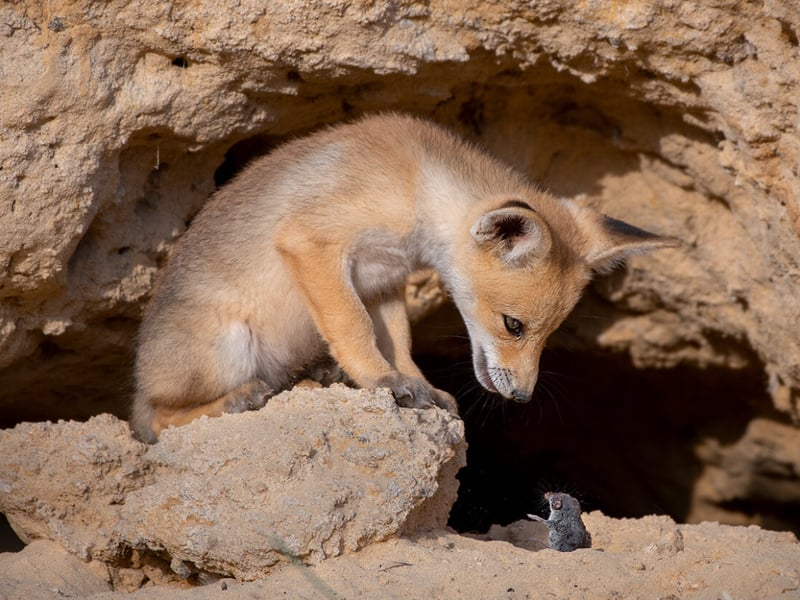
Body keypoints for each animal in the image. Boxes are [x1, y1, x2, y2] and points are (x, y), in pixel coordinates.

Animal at [131, 113, 678, 442]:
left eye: (550, 335)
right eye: (514, 325)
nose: (522, 397)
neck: (416, 185)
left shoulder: (383, 281)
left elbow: (399, 341)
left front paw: (417, 385)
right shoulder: (313, 243)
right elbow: (353, 328)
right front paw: (379, 380)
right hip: (228, 346)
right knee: (156, 420)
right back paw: (240, 399)